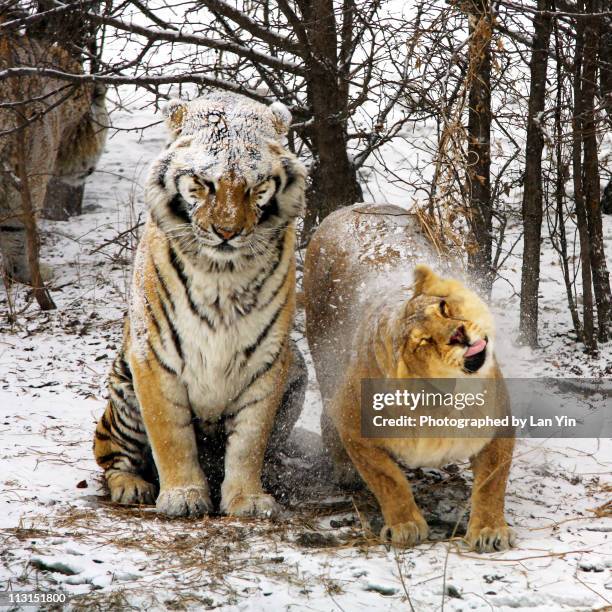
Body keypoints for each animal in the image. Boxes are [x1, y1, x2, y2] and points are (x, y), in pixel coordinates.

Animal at [94, 93, 308, 520]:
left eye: (256, 186)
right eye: (204, 183)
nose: (227, 232)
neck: (222, 271)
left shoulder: (268, 360)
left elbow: (249, 441)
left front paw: (248, 499)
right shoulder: (155, 356)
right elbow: (171, 436)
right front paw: (183, 495)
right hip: (122, 389)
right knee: (108, 452)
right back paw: (131, 486)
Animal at [304, 203, 512, 552]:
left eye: (443, 308)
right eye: (423, 341)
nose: (459, 334)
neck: (444, 400)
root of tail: (346, 209)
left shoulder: (498, 425)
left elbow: (491, 483)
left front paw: (489, 530)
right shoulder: (353, 423)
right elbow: (388, 479)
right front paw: (406, 525)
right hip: (324, 352)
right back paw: (345, 470)